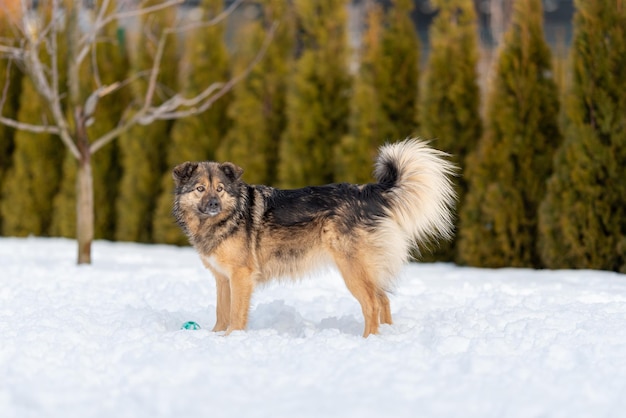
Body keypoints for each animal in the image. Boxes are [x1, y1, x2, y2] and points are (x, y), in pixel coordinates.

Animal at [171, 139, 454, 338]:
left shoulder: (241, 276)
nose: (213, 204)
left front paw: (232, 338)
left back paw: (367, 341)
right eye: (200, 189)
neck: (225, 218)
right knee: (384, 299)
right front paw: (215, 336)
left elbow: (236, 314)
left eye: (219, 189)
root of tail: (367, 192)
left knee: (373, 303)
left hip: (352, 268)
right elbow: (222, 311)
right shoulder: (223, 279)